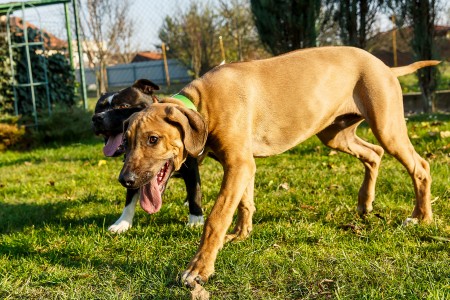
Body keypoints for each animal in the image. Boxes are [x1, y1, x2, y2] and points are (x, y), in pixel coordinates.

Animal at [92, 78, 205, 233]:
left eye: (123, 106)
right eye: (98, 108)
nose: (97, 118)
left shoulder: (191, 169)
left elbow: (194, 190)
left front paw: (195, 220)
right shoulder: (132, 169)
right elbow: (129, 198)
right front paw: (122, 223)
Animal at [118, 46, 438, 286]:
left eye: (153, 139)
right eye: (126, 140)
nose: (125, 180)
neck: (202, 105)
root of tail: (385, 66)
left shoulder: (238, 163)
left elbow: (217, 217)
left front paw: (199, 268)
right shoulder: (242, 165)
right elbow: (245, 203)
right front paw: (241, 234)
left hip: (387, 126)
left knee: (420, 166)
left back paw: (420, 217)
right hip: (336, 134)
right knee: (373, 154)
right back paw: (365, 203)